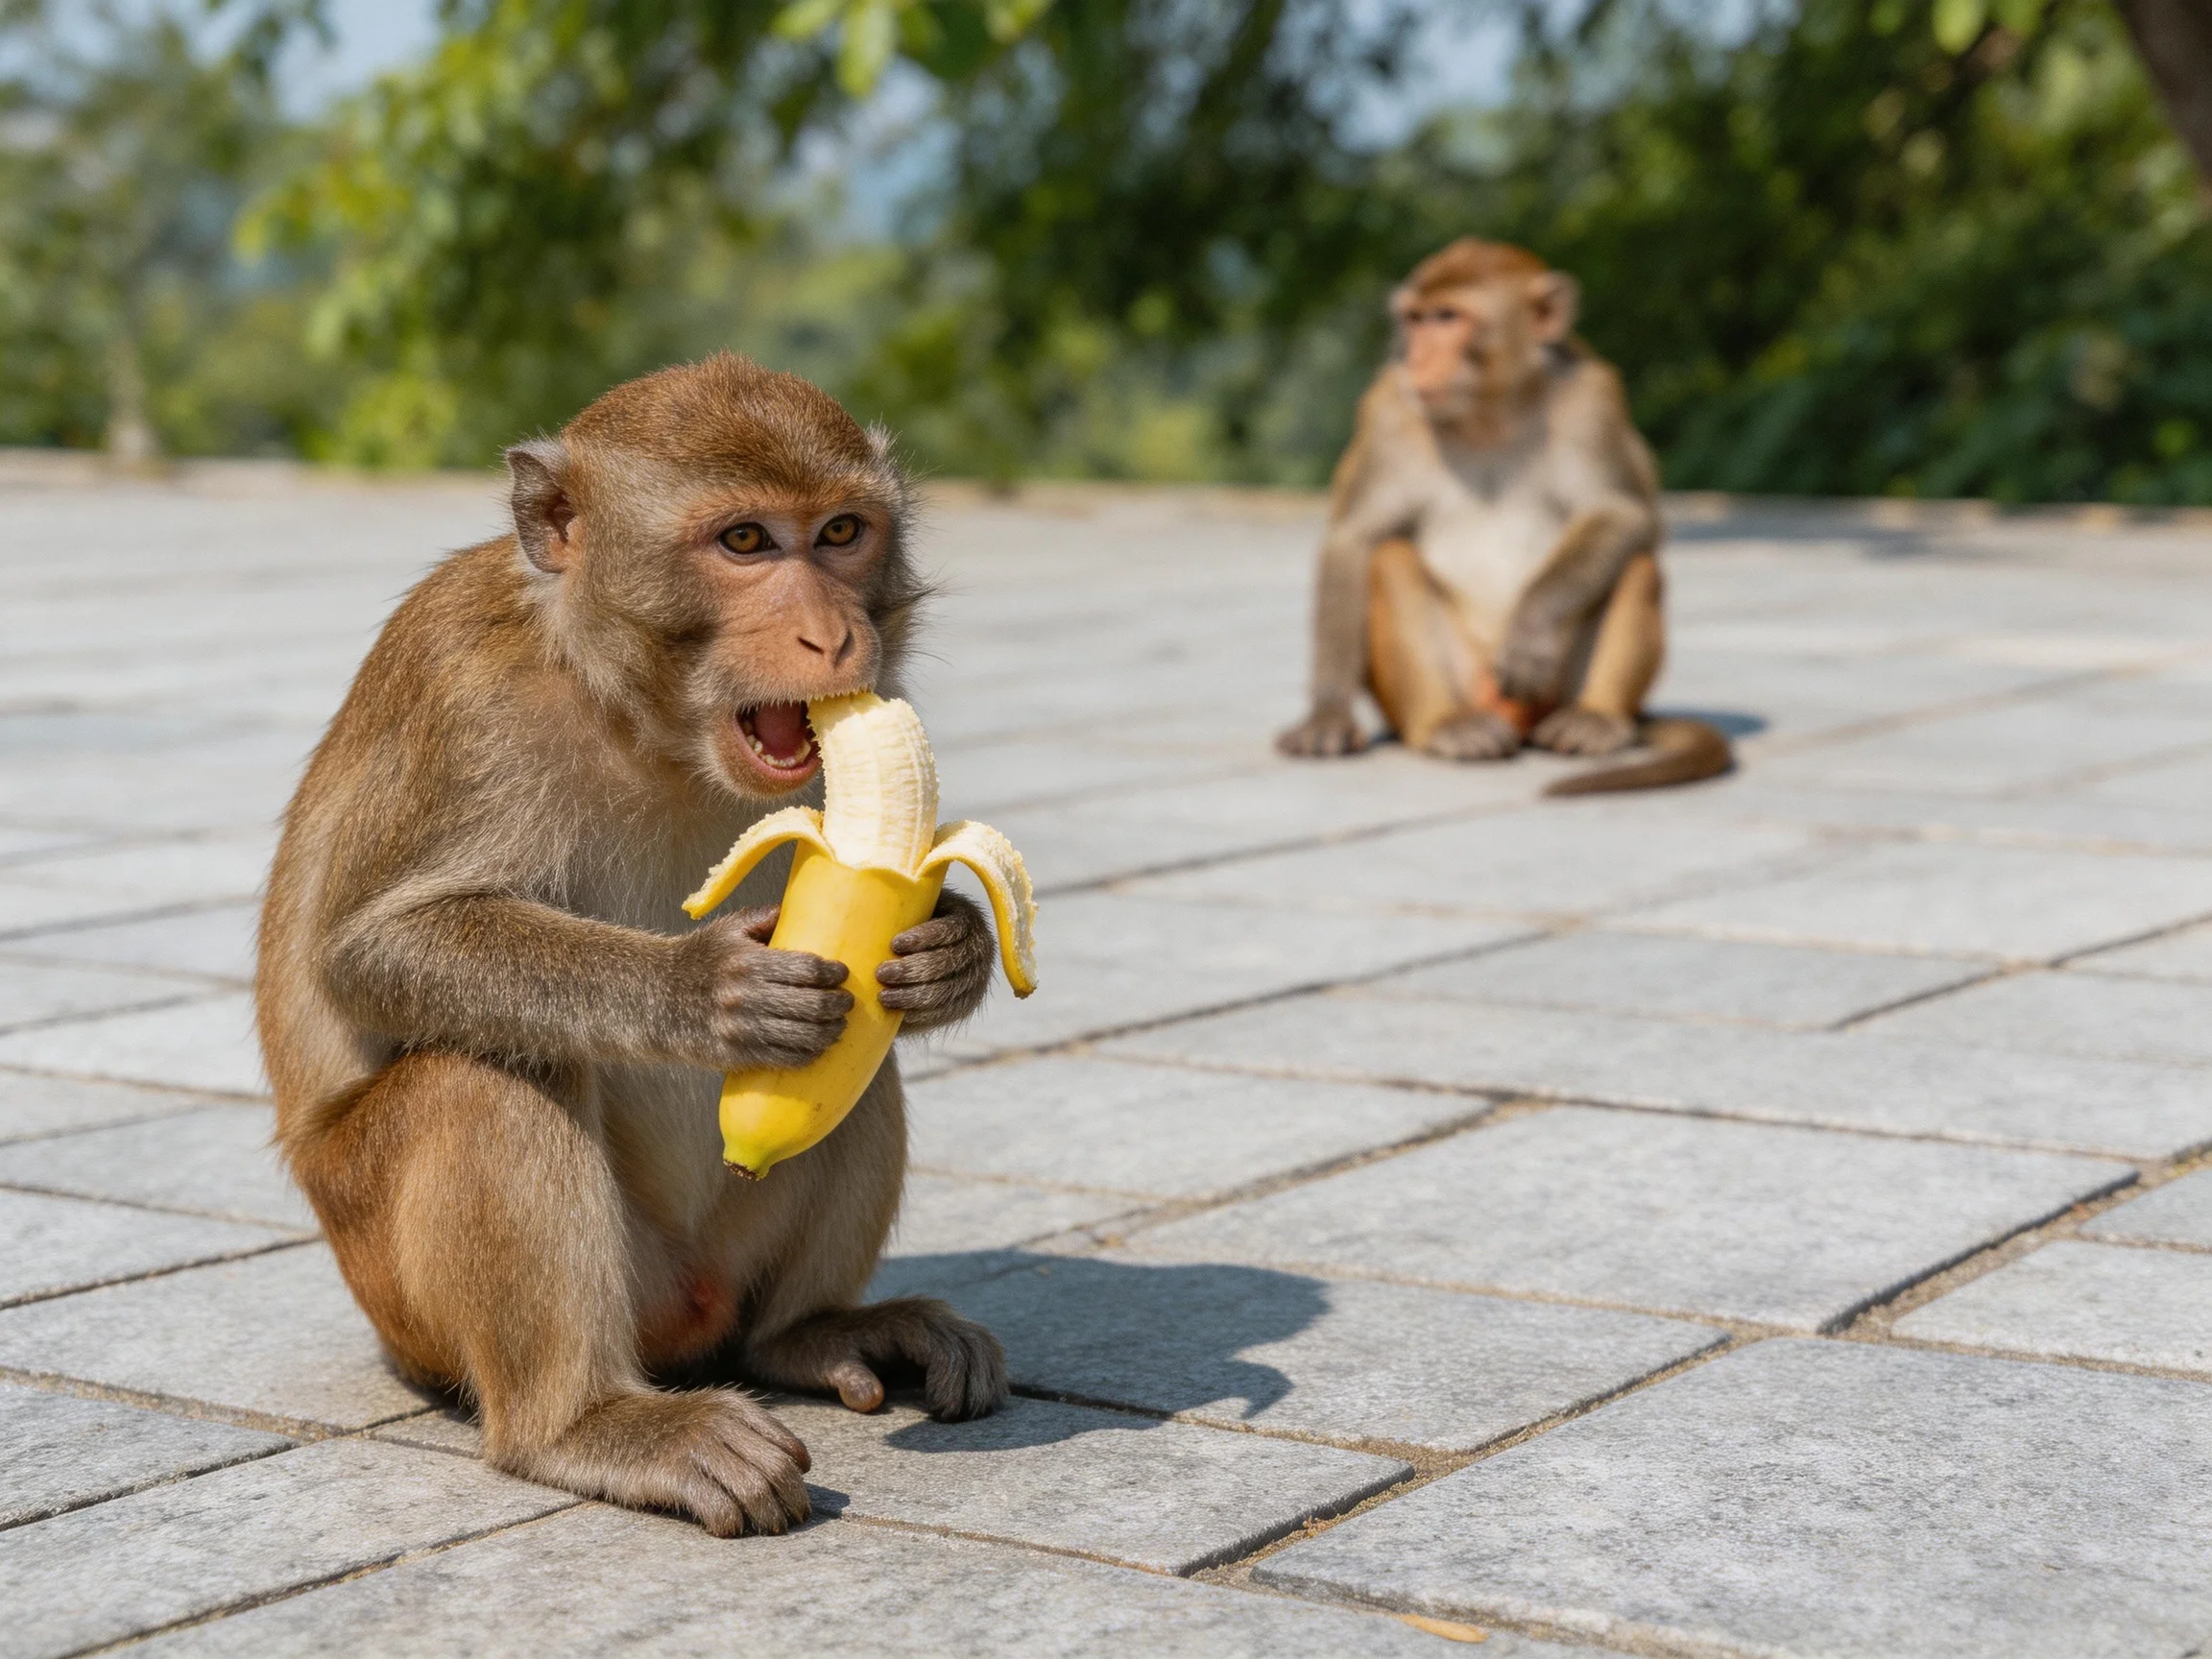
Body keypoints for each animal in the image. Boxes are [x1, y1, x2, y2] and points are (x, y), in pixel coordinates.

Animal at [256, 354, 1009, 1539]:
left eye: (841, 532)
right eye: (745, 542)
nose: (836, 638)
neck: (640, 721)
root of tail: (682, 1326)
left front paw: (952, 950)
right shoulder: (461, 691)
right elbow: (374, 947)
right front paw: (701, 991)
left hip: (723, 1261)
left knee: (855, 1064)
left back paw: (808, 1334)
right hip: (397, 1284)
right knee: (487, 1068)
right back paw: (589, 1425)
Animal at [1277, 237, 1730, 796]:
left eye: (1448, 317)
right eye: (1415, 318)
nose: (1416, 356)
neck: (1489, 413)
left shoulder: (1592, 400)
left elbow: (1622, 512)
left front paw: (1532, 628)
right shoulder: (1387, 411)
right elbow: (1354, 539)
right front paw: (1327, 714)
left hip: (1552, 690)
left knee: (1636, 563)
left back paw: (1596, 718)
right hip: (1461, 684)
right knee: (1388, 559)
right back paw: (1447, 725)